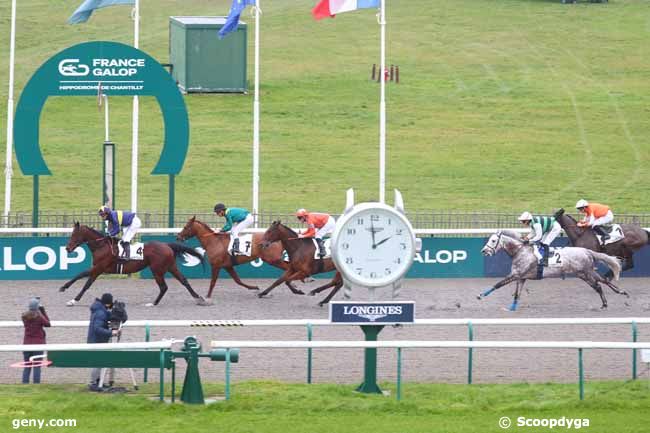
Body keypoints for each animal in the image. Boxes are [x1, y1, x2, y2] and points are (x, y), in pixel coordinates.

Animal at [60, 223, 205, 308]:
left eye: (75, 234)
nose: (67, 248)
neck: (101, 246)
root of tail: (167, 245)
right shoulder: (98, 269)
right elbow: (82, 277)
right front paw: (66, 290)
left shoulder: (99, 268)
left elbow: (85, 281)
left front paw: (71, 298)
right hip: (171, 267)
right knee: (183, 280)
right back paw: (199, 298)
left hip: (157, 270)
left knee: (164, 287)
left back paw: (153, 303)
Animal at [173, 215, 302, 300]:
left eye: (185, 227)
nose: (178, 237)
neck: (213, 241)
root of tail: (278, 240)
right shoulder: (228, 266)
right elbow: (238, 281)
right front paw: (254, 287)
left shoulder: (216, 265)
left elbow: (213, 282)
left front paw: (207, 296)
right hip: (274, 259)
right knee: (289, 268)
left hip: (272, 259)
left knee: (288, 268)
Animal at [476, 230, 628, 310]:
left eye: (493, 240)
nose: (483, 251)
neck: (521, 251)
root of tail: (587, 251)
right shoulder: (521, 277)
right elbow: (517, 294)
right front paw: (512, 307)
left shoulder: (515, 274)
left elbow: (498, 284)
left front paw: (481, 295)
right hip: (586, 272)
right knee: (602, 281)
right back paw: (617, 295)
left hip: (585, 273)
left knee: (599, 285)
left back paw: (610, 300)